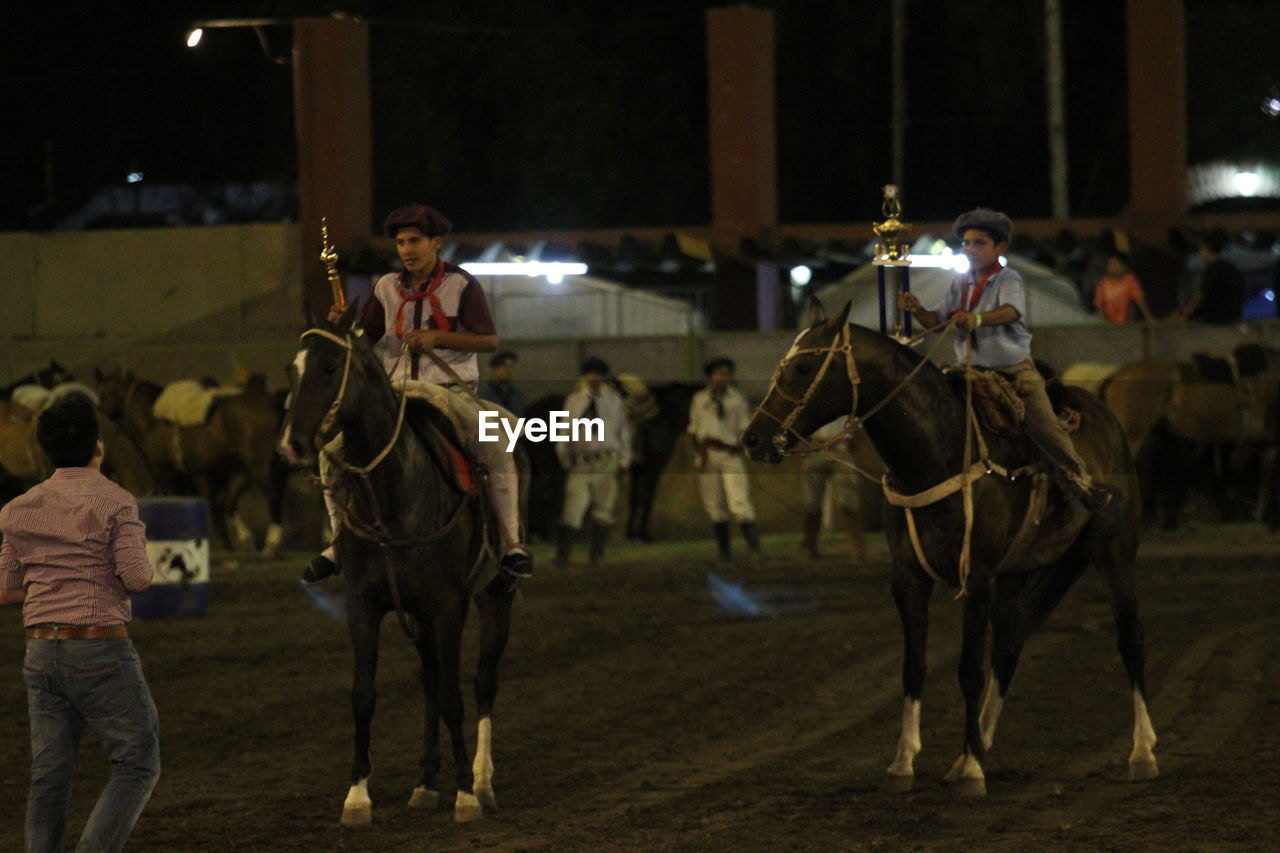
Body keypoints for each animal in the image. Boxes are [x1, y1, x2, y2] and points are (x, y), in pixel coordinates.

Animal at [277, 306, 517, 824]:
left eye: (330, 367)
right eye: (292, 370)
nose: (292, 445)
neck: (395, 495)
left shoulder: (447, 607)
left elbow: (453, 697)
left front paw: (465, 795)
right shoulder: (365, 606)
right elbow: (364, 695)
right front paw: (357, 796)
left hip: (495, 596)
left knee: (483, 682)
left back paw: (482, 780)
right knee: (429, 681)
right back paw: (425, 783)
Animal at [737, 302, 1157, 794]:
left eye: (804, 368)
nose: (752, 439)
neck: (938, 449)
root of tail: (1099, 409)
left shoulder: (976, 578)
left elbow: (968, 669)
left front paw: (972, 771)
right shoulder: (909, 578)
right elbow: (914, 667)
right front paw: (906, 763)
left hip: (1114, 553)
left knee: (1130, 641)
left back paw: (1142, 752)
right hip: (1017, 575)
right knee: (1009, 647)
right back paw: (976, 745)